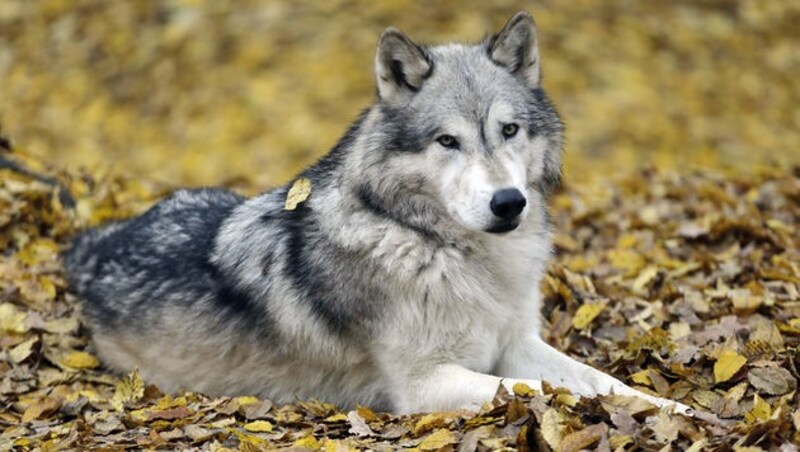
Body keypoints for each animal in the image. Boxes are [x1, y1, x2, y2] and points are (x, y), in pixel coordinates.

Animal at [62, 12, 692, 416]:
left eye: (509, 130)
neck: (445, 252)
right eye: (447, 141)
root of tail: (98, 242)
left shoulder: (515, 342)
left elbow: (602, 382)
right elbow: (542, 391)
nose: (509, 202)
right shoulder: (426, 385)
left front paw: (675, 408)